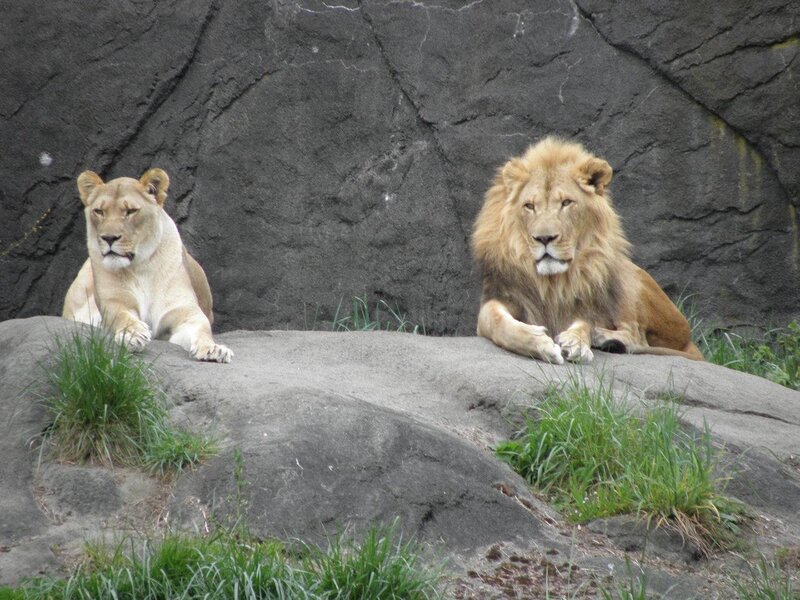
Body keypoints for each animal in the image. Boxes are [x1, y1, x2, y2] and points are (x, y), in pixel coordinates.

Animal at [62, 168, 233, 363]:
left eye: (131, 211)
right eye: (99, 211)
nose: (109, 238)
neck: (141, 266)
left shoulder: (186, 312)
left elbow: (203, 330)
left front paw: (213, 349)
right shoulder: (113, 303)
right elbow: (122, 316)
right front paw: (133, 335)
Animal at [471, 137, 703, 364]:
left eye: (566, 202)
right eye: (529, 206)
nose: (544, 238)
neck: (551, 283)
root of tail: (689, 338)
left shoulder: (585, 307)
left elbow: (584, 324)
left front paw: (577, 343)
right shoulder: (498, 300)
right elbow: (497, 321)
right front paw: (540, 344)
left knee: (638, 335)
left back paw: (603, 337)